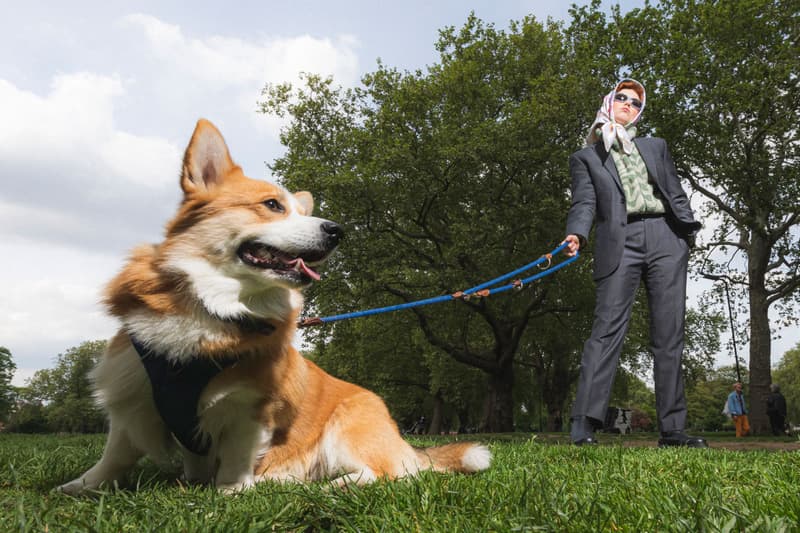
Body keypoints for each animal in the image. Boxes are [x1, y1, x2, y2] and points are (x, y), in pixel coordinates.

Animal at [57, 118, 488, 492]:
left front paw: (230, 492)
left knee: (384, 474)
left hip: (348, 427)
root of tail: (405, 442)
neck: (213, 304)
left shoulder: (251, 405)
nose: (337, 231)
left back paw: (324, 487)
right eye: (272, 205)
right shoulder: (131, 390)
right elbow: (115, 454)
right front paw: (80, 487)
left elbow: (235, 459)